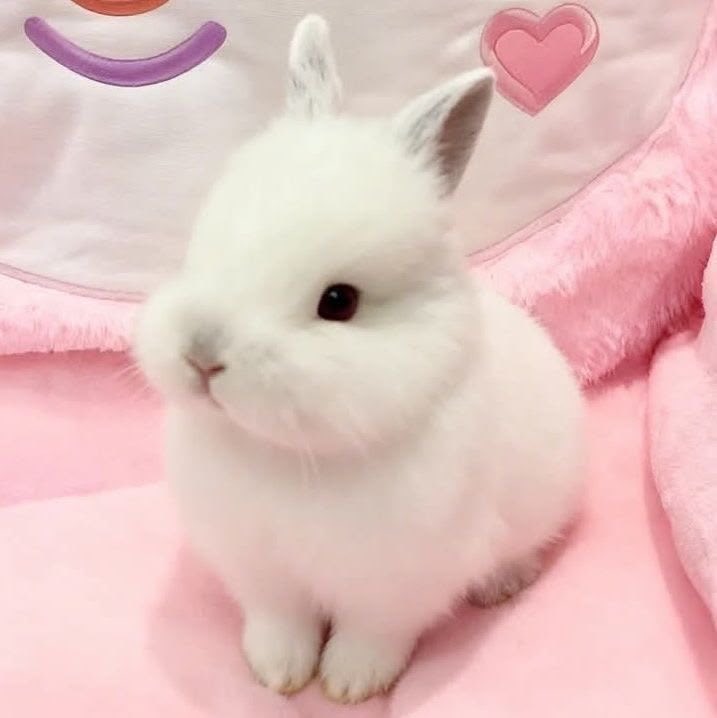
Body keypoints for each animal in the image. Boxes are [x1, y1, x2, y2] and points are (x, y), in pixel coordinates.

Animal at [134, 14, 585, 704]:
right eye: (205, 245)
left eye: (339, 301)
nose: (202, 356)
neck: (288, 454)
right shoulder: (261, 571)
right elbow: (279, 622)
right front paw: (276, 673)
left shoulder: (397, 584)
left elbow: (372, 636)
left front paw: (350, 685)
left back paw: (501, 584)